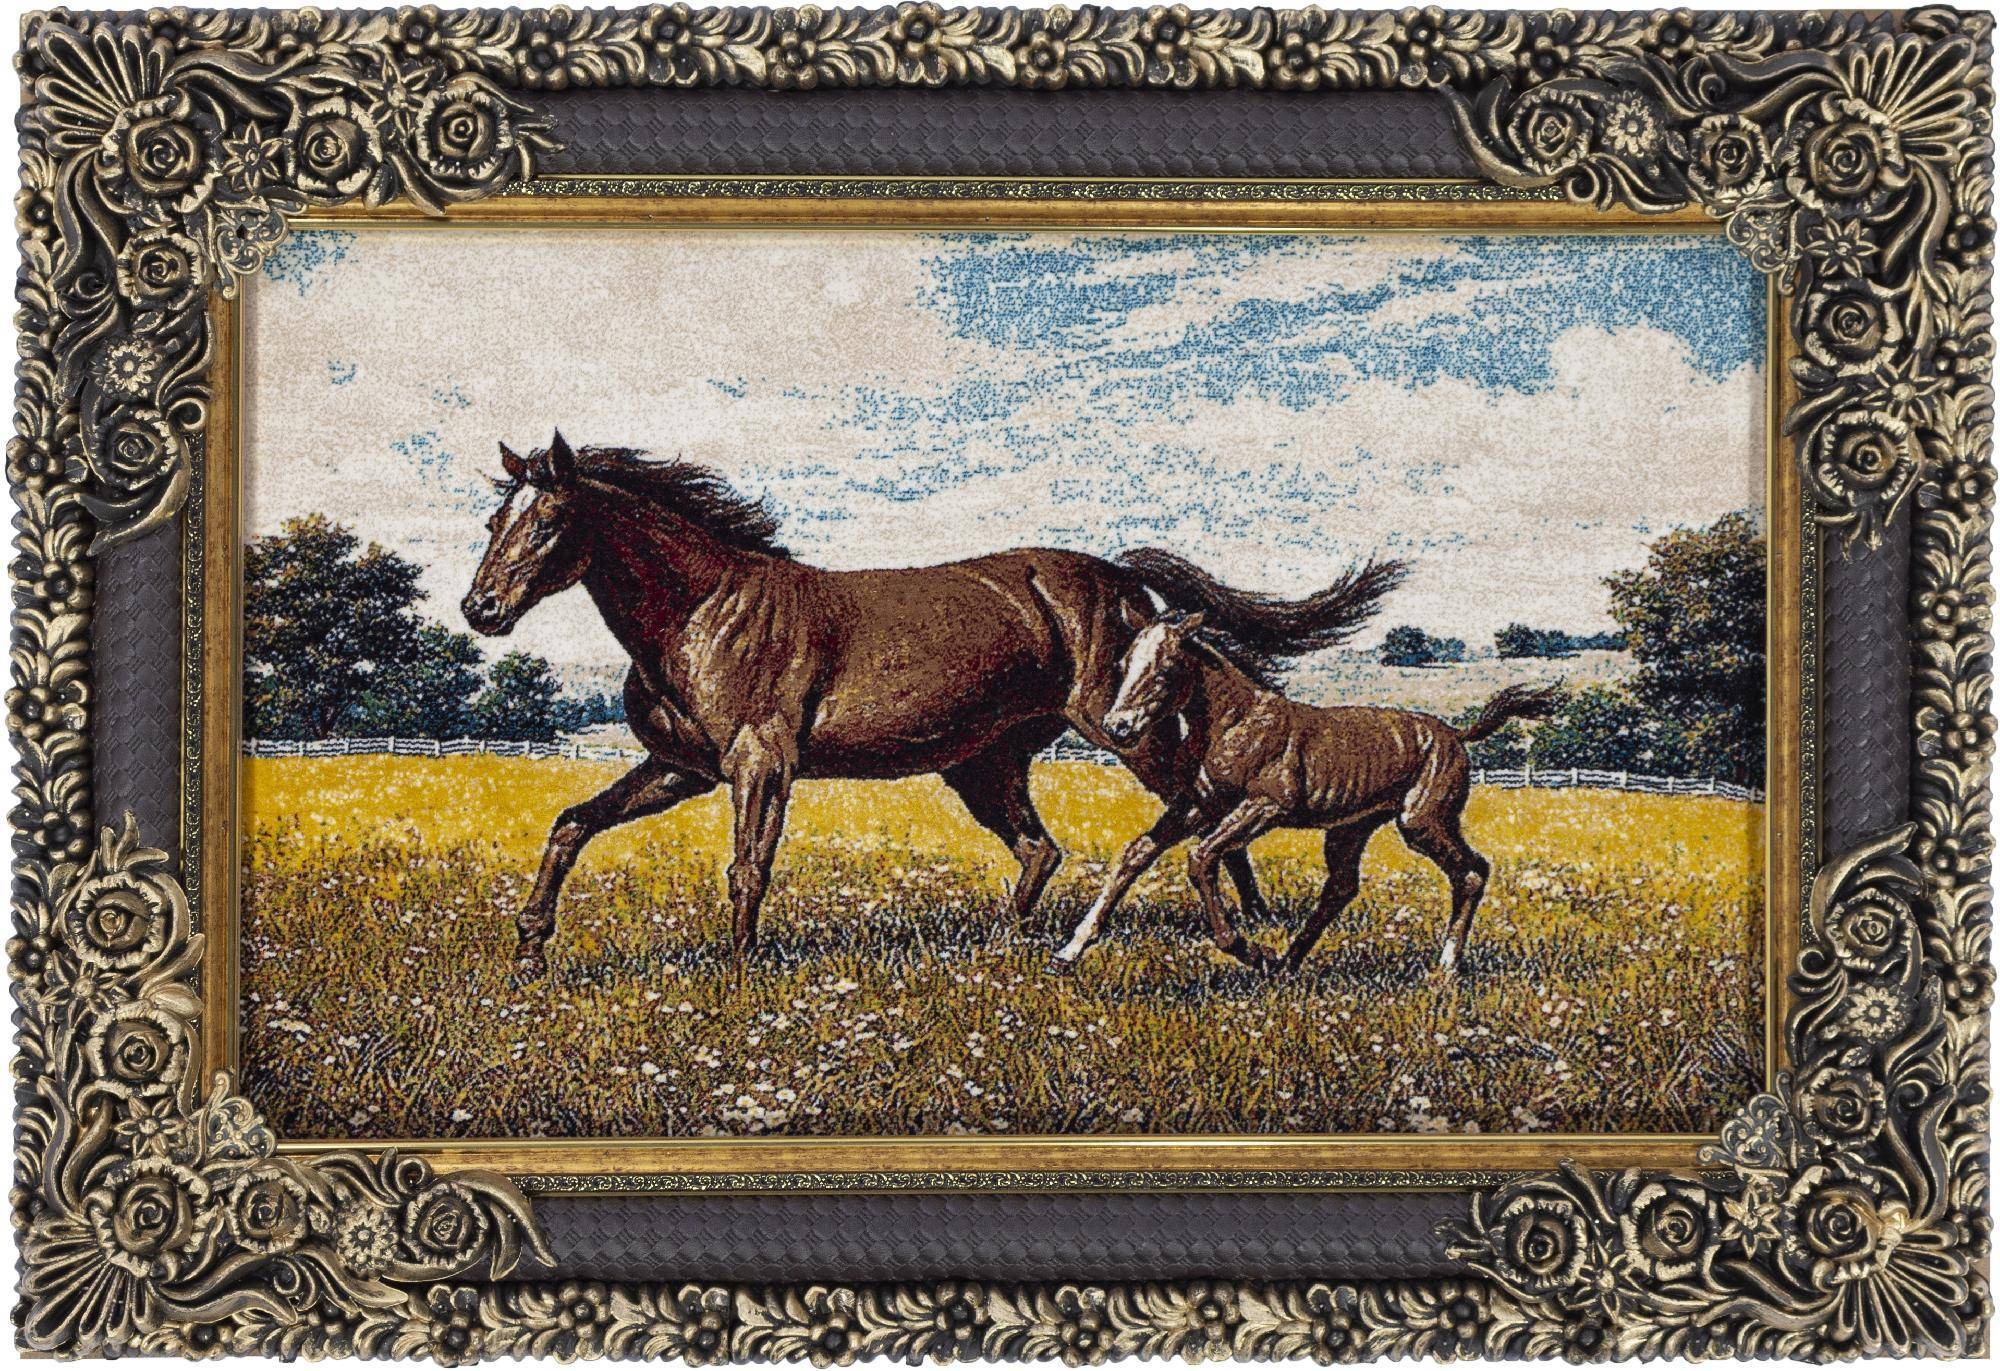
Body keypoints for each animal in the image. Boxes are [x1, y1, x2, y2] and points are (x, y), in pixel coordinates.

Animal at [461, 432, 1408, 976]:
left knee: (1193, 805)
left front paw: (737, 973)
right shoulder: (679, 768)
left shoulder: (760, 765)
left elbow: (747, 866)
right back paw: (1003, 948)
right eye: (493, 522)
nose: (481, 609)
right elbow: (572, 824)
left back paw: (1248, 930)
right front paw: (530, 948)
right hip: (985, 763)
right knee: (1042, 849)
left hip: (1123, 730)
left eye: (547, 522)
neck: (705, 610)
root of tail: (1119, 577)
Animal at [1050, 610, 1563, 975]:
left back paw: (1446, 967)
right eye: (1124, 664)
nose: (1118, 727)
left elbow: (1201, 857)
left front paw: (1244, 948)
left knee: (1473, 872)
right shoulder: (1198, 805)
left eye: (1167, 669)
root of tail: (1457, 734)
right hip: (1351, 829)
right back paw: (1288, 963)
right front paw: (1070, 949)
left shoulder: (1265, 806)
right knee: (1342, 887)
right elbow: (1136, 853)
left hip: (1422, 822)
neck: (1234, 723)